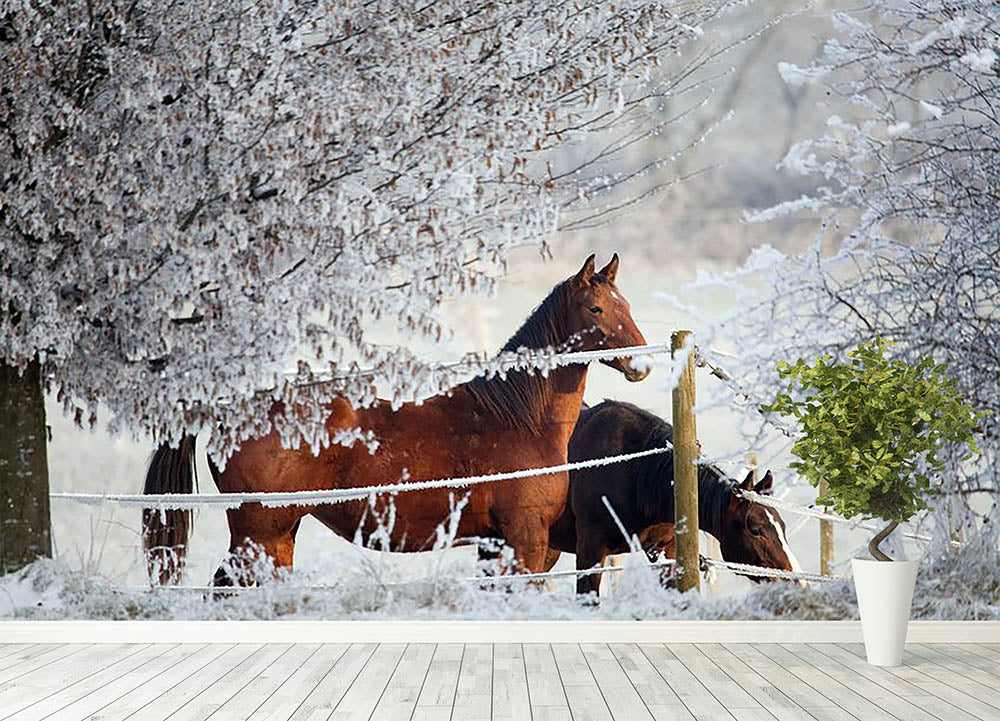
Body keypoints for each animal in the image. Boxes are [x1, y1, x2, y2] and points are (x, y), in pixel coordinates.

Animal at [142, 254, 650, 586]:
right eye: (596, 308)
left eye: (626, 305)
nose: (641, 364)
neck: (517, 417)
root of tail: (229, 407)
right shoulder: (524, 541)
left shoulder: (496, 545)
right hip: (258, 534)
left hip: (280, 535)